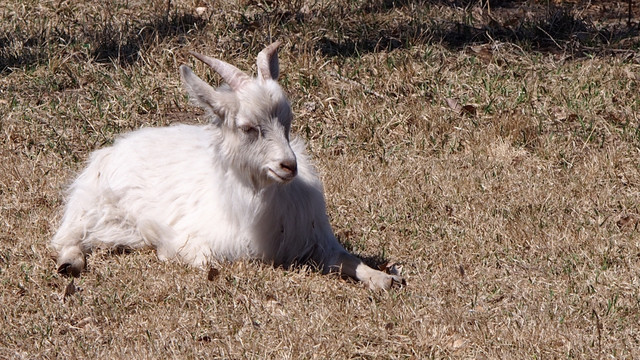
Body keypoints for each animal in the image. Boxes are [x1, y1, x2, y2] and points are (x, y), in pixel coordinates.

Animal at [50, 41, 402, 290]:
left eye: (287, 122)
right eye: (247, 127)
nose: (288, 166)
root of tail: (115, 147)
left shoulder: (314, 240)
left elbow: (347, 259)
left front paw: (383, 277)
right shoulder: (194, 237)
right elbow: (207, 261)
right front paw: (168, 253)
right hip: (95, 208)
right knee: (69, 237)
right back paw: (70, 264)